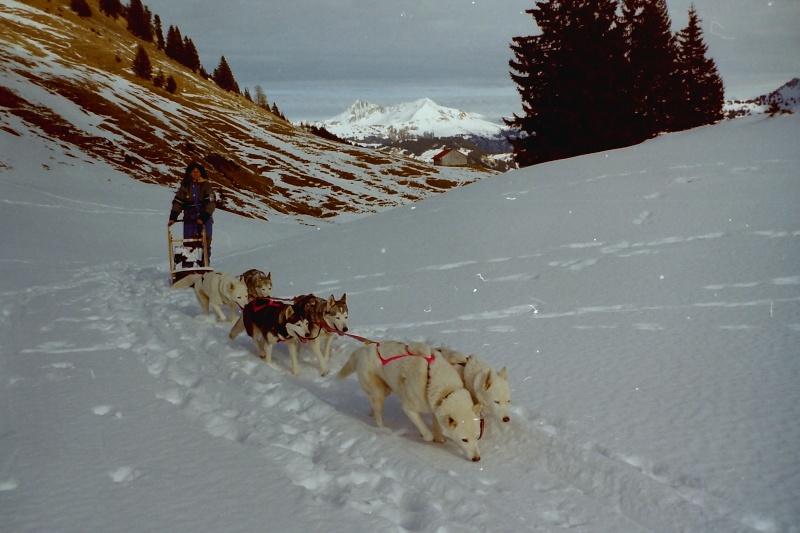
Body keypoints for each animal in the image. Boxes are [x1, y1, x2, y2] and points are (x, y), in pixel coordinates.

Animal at [338, 340, 482, 462]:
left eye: (477, 437)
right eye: (464, 440)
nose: (477, 458)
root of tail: (362, 349)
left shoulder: (435, 407)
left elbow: (437, 427)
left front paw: (439, 440)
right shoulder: (409, 408)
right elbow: (427, 433)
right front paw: (425, 435)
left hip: (385, 390)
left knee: (372, 402)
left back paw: (371, 413)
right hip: (379, 392)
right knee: (378, 413)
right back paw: (384, 428)